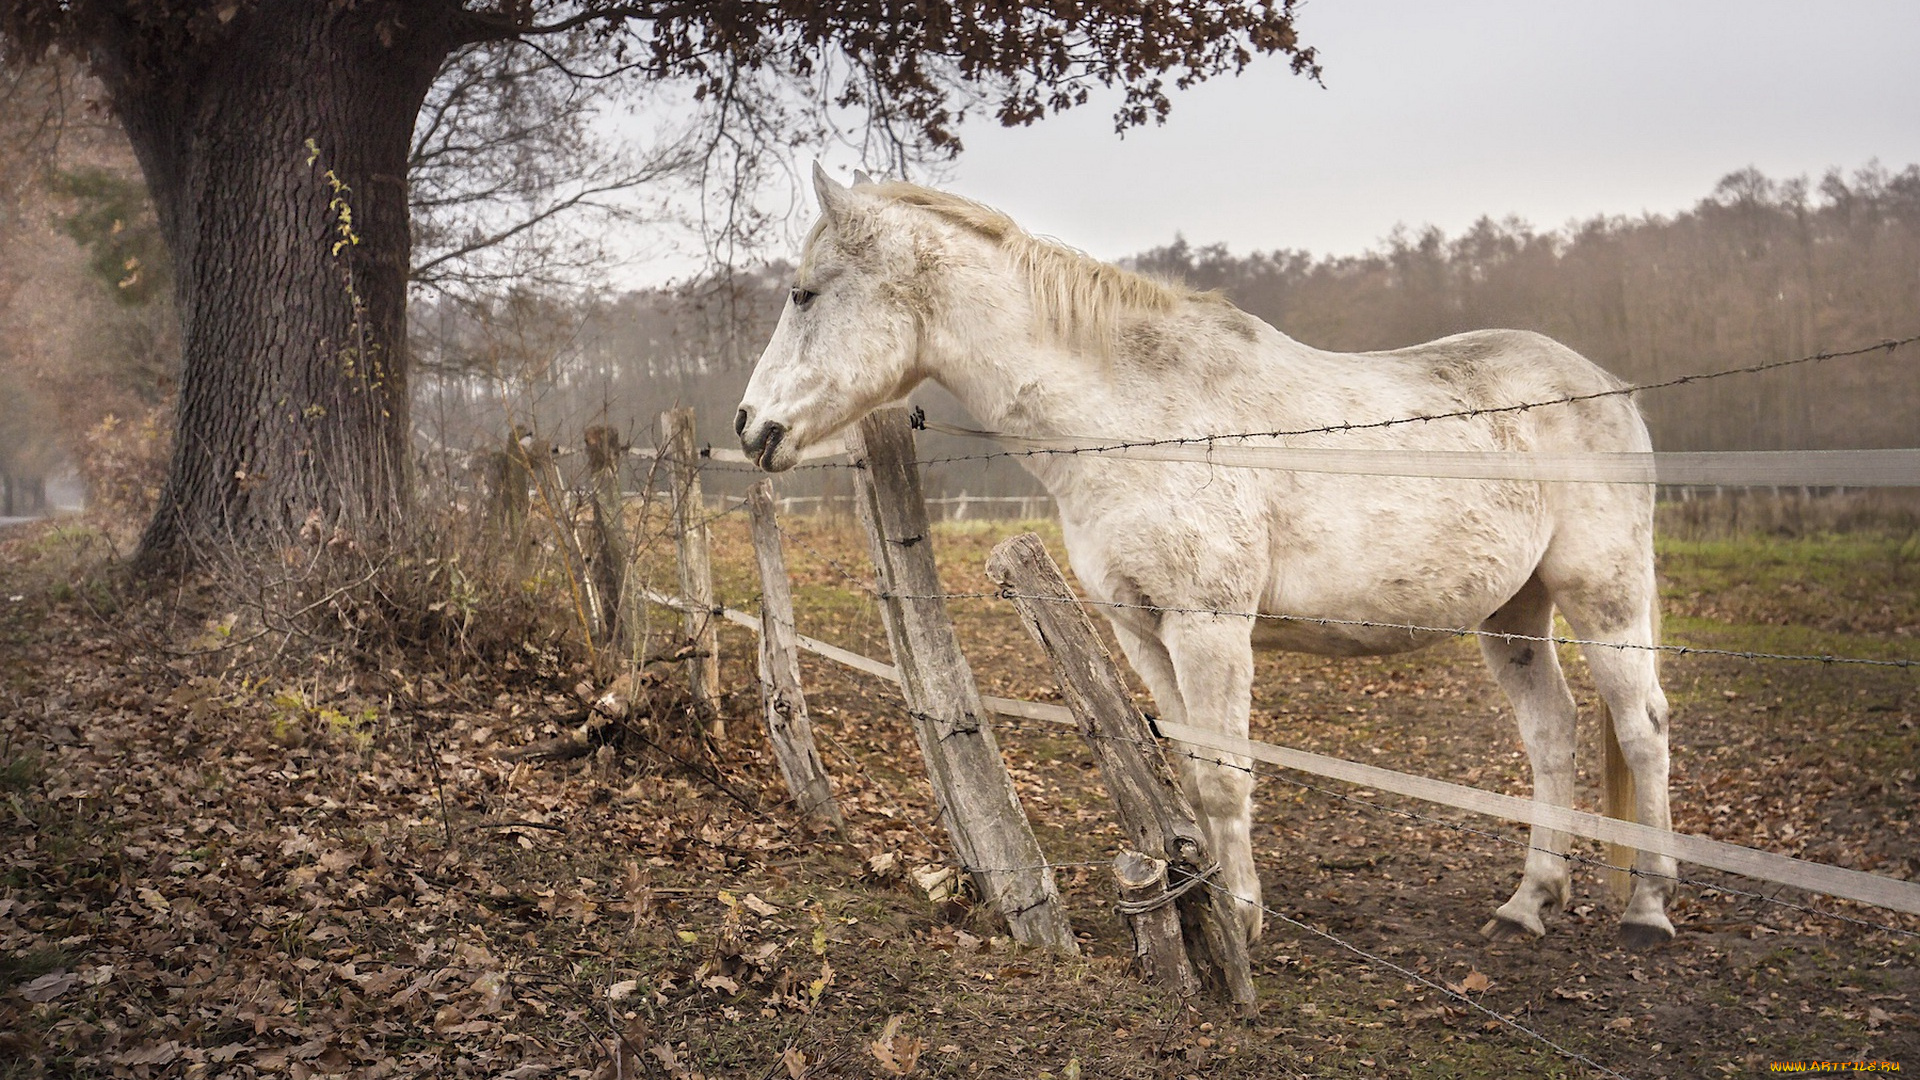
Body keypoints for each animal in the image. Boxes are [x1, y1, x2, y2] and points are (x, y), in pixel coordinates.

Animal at [741, 164, 1674, 945]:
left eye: (805, 293)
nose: (753, 428)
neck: (1136, 418)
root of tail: (1610, 389)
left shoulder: (1208, 624)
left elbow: (1226, 774)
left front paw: (1244, 919)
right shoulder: (1140, 627)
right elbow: (1190, 769)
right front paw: (1212, 908)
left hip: (1603, 598)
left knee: (1643, 727)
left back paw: (1649, 908)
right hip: (1512, 613)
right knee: (1552, 732)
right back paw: (1530, 901)